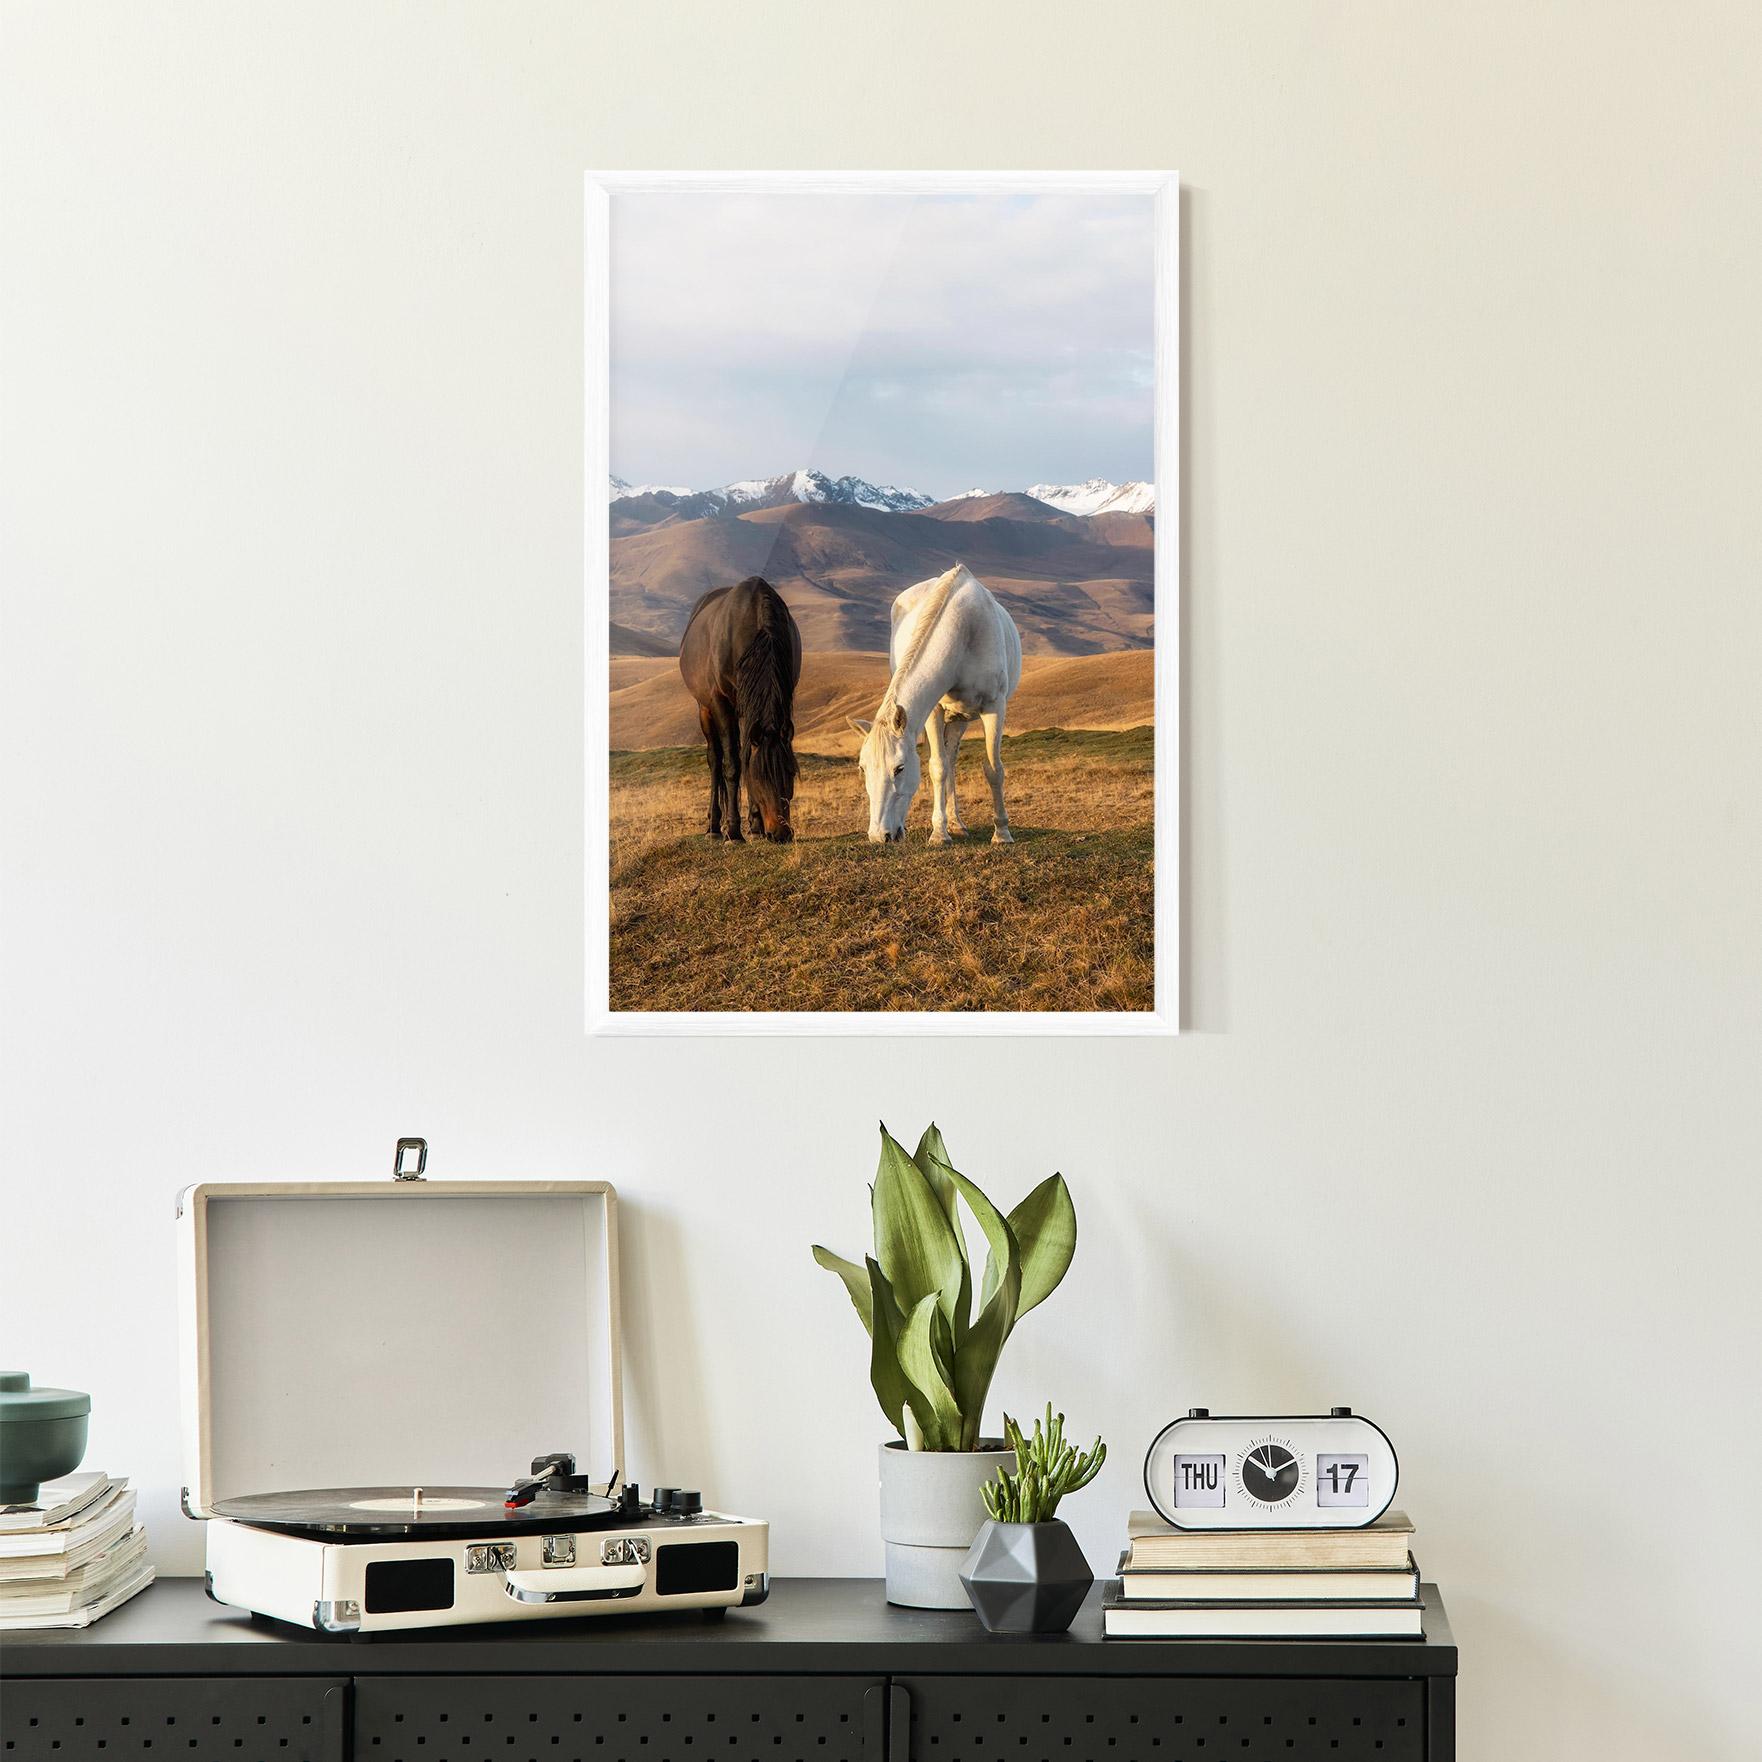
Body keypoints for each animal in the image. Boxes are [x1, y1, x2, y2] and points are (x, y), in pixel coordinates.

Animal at [679, 576, 802, 843]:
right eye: (760, 777)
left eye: (790, 773)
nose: (781, 833)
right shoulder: (721, 702)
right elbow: (733, 765)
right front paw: (734, 831)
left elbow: (746, 756)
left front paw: (755, 827)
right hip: (705, 709)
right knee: (715, 760)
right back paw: (715, 827)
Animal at [847, 563, 1023, 846]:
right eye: (862, 768)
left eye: (899, 768)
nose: (879, 835)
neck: (964, 631)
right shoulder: (934, 711)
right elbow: (937, 767)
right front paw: (939, 833)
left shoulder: (994, 708)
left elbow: (994, 769)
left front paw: (1002, 833)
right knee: (945, 763)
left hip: (961, 719)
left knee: (954, 760)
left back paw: (959, 824)